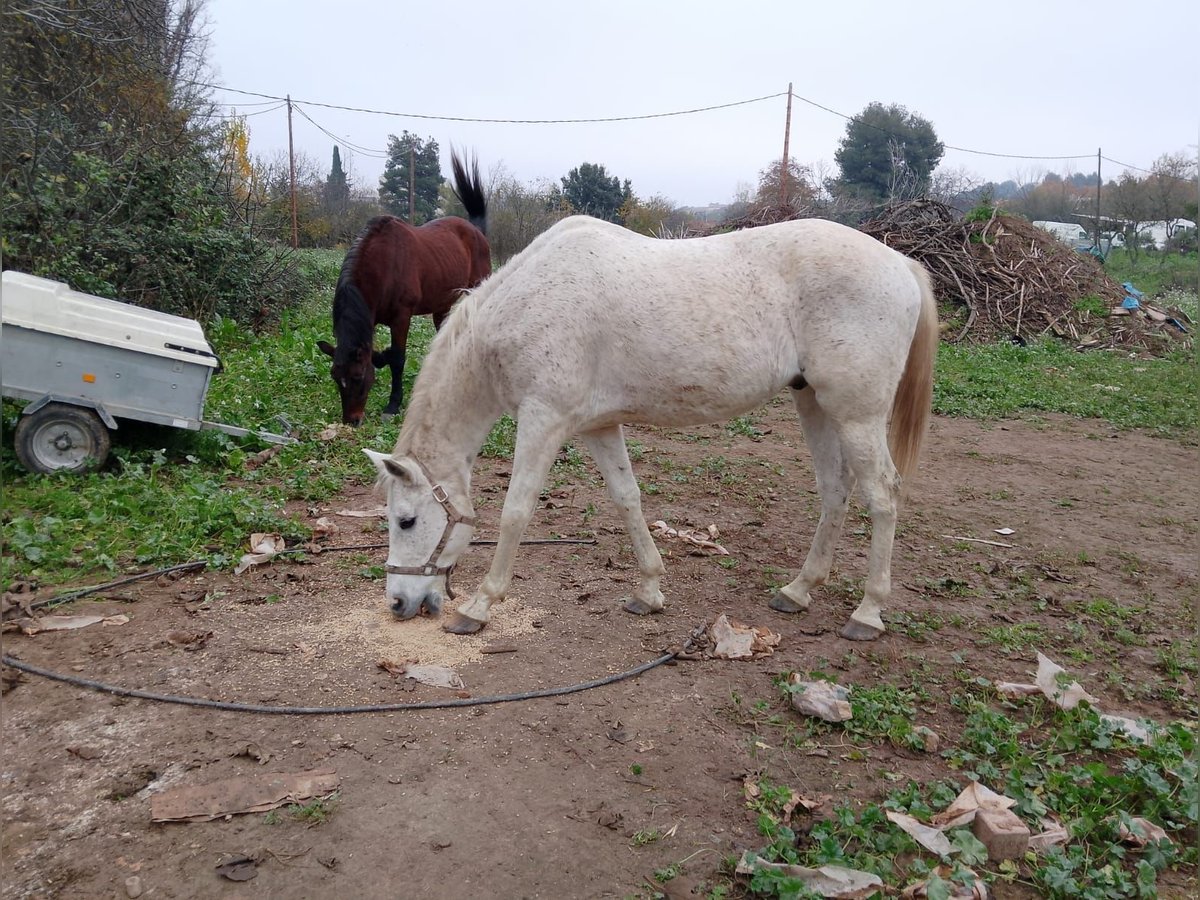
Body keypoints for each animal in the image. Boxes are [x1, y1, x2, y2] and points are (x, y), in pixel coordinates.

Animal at [319, 152, 492, 427]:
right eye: (336, 376)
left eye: (357, 376)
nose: (351, 420)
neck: (383, 266)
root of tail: (475, 230)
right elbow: (382, 355)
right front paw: (382, 357)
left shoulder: (401, 317)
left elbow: (398, 359)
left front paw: (393, 404)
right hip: (441, 305)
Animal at [364, 213, 936, 643]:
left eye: (406, 521)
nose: (398, 602)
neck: (525, 305)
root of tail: (900, 263)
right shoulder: (597, 427)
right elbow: (628, 499)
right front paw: (650, 590)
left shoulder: (543, 419)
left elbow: (516, 512)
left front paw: (479, 606)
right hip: (813, 402)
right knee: (836, 490)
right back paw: (797, 591)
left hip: (856, 414)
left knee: (882, 495)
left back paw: (867, 613)